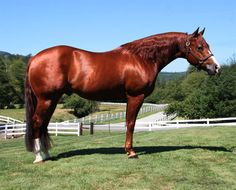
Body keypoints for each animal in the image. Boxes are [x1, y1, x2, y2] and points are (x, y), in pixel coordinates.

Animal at [25, 27, 219, 163]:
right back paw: (39, 157)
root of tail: (34, 58)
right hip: (47, 99)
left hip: (52, 99)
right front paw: (131, 152)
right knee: (37, 122)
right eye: (200, 47)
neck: (142, 59)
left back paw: (46, 154)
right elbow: (130, 123)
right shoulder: (135, 97)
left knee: (43, 124)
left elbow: (129, 123)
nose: (216, 67)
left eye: (207, 45)